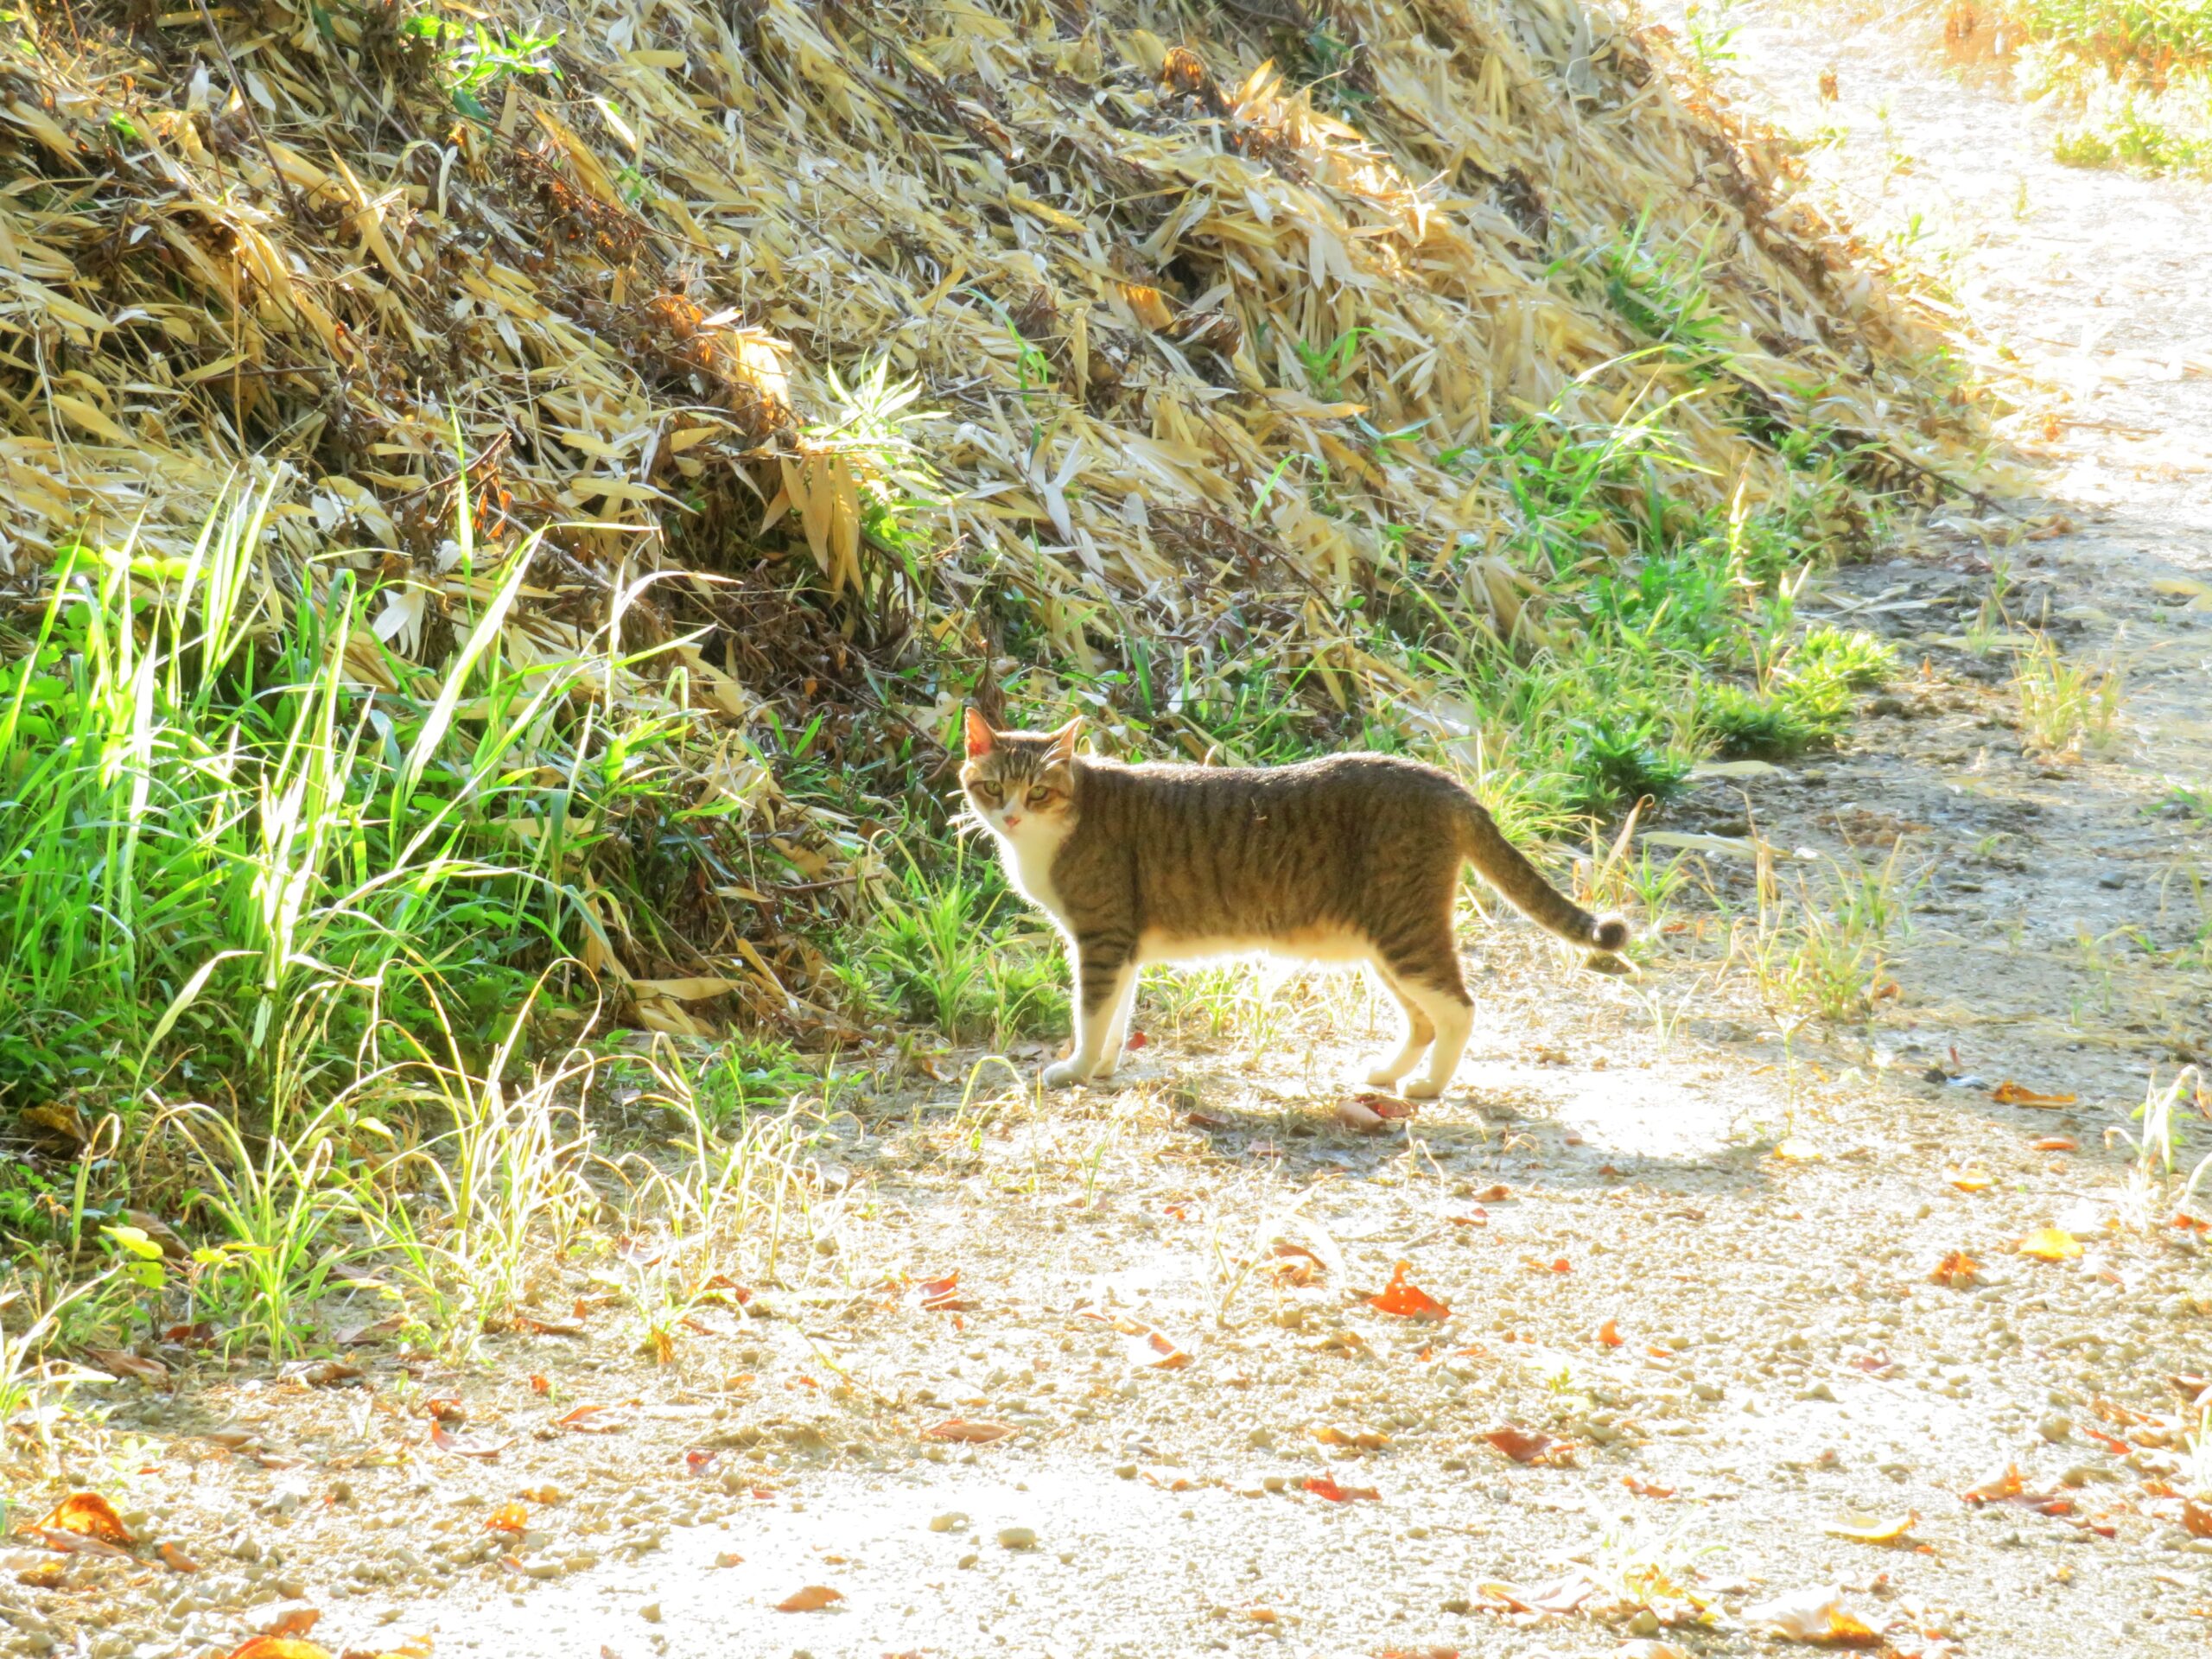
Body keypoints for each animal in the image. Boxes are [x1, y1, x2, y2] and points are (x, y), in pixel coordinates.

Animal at [960, 708, 1637, 1096]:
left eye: (1040, 792)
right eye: (992, 787)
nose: (1012, 815)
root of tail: (1443, 780)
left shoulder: (1100, 935)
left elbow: (1091, 1012)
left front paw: (1074, 1071)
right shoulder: (1122, 945)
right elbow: (1117, 1016)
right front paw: (1101, 1069)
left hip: (1404, 929)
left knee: (1459, 1009)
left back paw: (1426, 1087)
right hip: (1384, 945)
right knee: (1422, 1018)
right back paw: (1387, 1074)